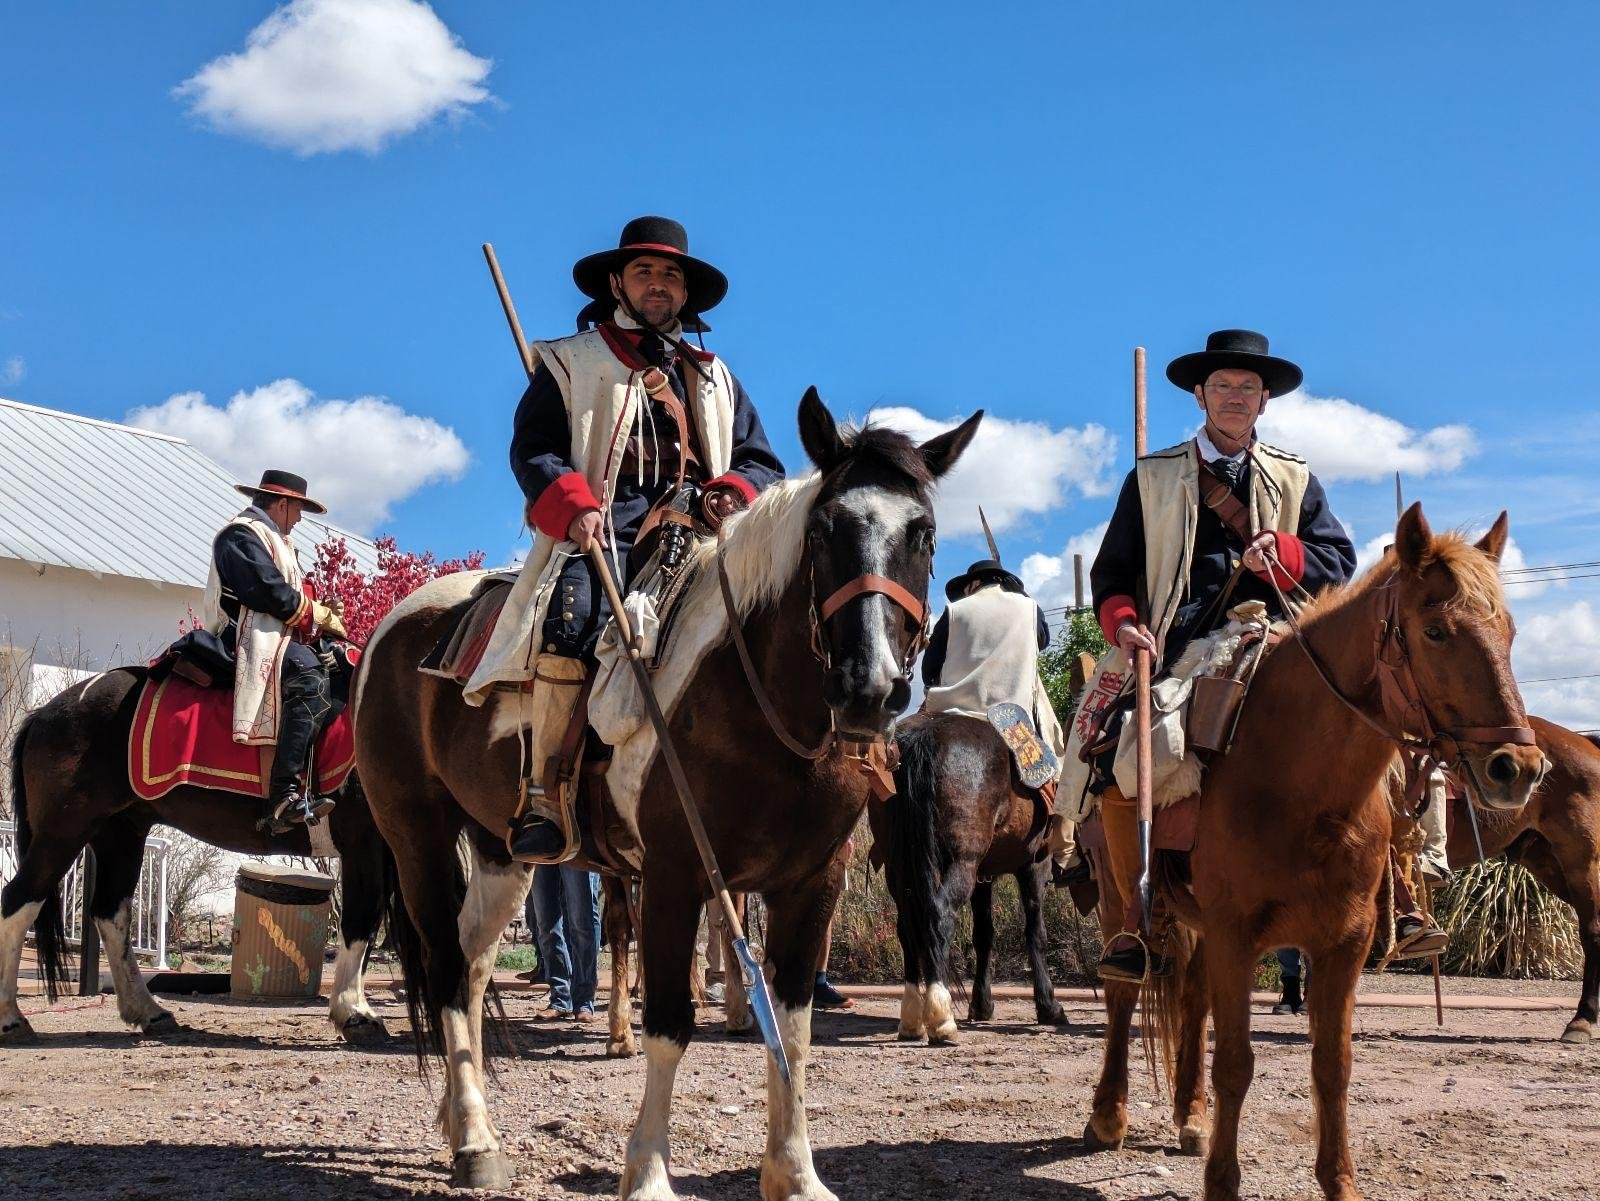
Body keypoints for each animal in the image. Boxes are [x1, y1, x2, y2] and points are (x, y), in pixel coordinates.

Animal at [2, 671, 393, 1049]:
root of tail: (44, 714)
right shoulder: (366, 845)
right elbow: (362, 921)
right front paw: (355, 1014)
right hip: (62, 833)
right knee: (19, 901)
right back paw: (12, 1020)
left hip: (119, 835)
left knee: (111, 915)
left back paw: (149, 1012)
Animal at [353, 390, 972, 1196]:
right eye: (825, 530)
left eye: (921, 534)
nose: (869, 688)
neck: (754, 697)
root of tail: (398, 625)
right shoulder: (676, 877)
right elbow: (671, 1025)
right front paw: (647, 1171)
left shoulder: (812, 884)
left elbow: (794, 1028)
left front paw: (795, 1172)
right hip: (417, 836)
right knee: (446, 966)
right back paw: (475, 1141)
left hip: (499, 851)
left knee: (471, 962)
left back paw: (467, 1123)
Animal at [870, 713, 1068, 1042]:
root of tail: (924, 736)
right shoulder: (1033, 865)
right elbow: (1035, 932)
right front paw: (1049, 1007)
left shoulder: (982, 877)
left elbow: (983, 935)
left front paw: (982, 1004)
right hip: (961, 864)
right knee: (939, 917)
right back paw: (940, 1016)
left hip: (901, 869)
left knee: (907, 926)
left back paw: (911, 1017)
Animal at [1081, 508, 1542, 1201]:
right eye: (1435, 630)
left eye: (1509, 632)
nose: (1518, 768)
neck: (1300, 784)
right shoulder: (1237, 935)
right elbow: (1236, 1063)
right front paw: (1223, 1183)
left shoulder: (1341, 944)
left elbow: (1333, 1065)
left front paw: (1340, 1182)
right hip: (1121, 898)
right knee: (1121, 993)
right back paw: (1109, 1114)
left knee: (1190, 999)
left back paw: (1190, 1115)